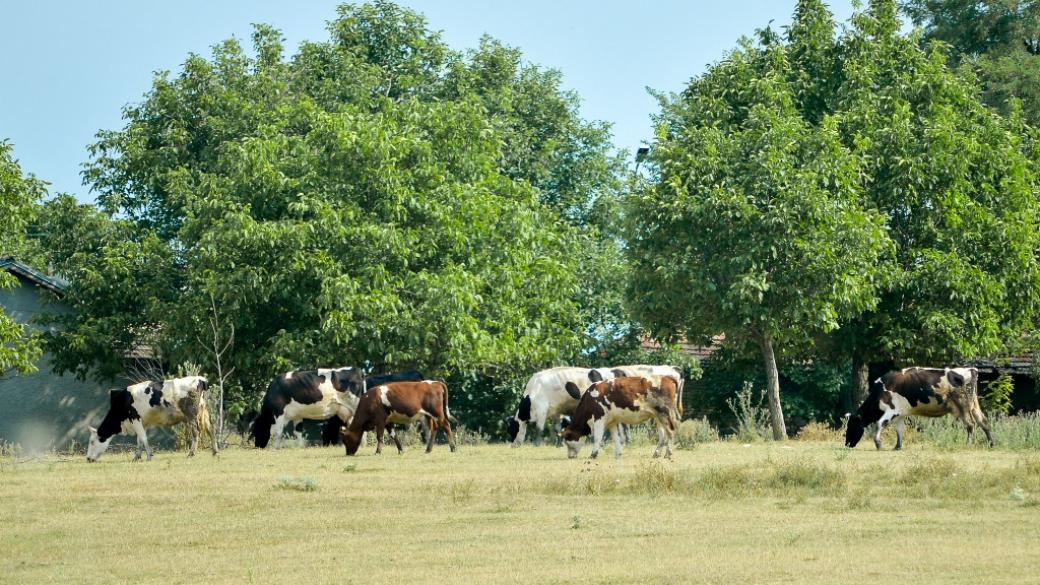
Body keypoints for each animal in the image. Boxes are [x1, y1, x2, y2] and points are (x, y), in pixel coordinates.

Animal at [844, 364, 990, 451]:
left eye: (851, 426)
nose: (847, 444)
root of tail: (971, 369)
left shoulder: (891, 410)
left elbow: (880, 423)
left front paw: (878, 444)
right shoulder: (900, 414)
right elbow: (899, 430)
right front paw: (898, 447)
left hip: (963, 406)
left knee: (970, 424)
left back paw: (968, 444)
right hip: (974, 406)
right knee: (983, 421)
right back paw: (991, 443)